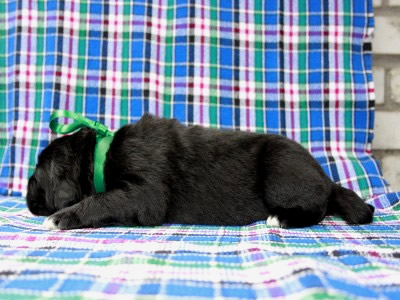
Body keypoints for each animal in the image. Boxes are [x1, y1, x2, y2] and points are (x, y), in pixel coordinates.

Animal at [26, 114, 374, 230]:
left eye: (37, 175)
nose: (27, 197)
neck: (102, 154)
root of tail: (325, 177)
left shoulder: (145, 194)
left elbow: (103, 199)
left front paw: (60, 217)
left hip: (281, 171)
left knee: (318, 207)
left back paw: (283, 218)